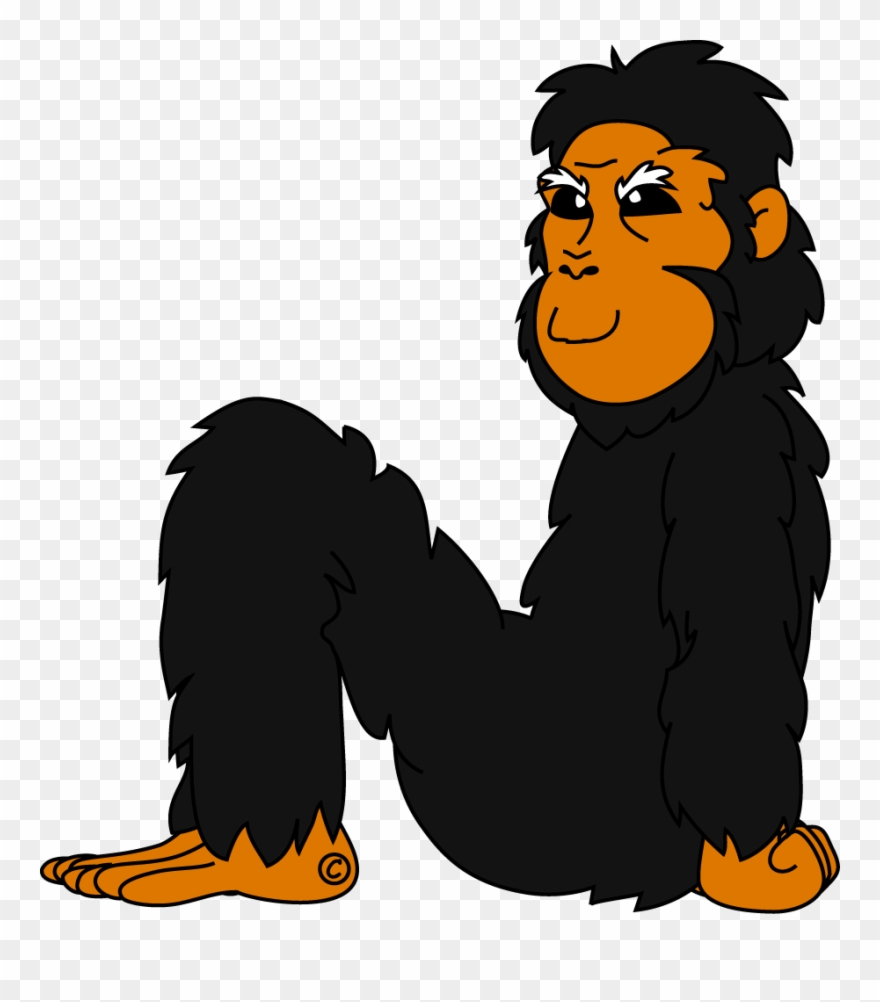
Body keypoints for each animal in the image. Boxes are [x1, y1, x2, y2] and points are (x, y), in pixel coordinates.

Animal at [42, 40, 839, 912]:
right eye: (569, 205)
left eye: (647, 206)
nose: (582, 264)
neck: (708, 380)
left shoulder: (733, 470)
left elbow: (731, 659)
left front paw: (756, 866)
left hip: (513, 784)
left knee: (277, 468)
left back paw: (267, 863)